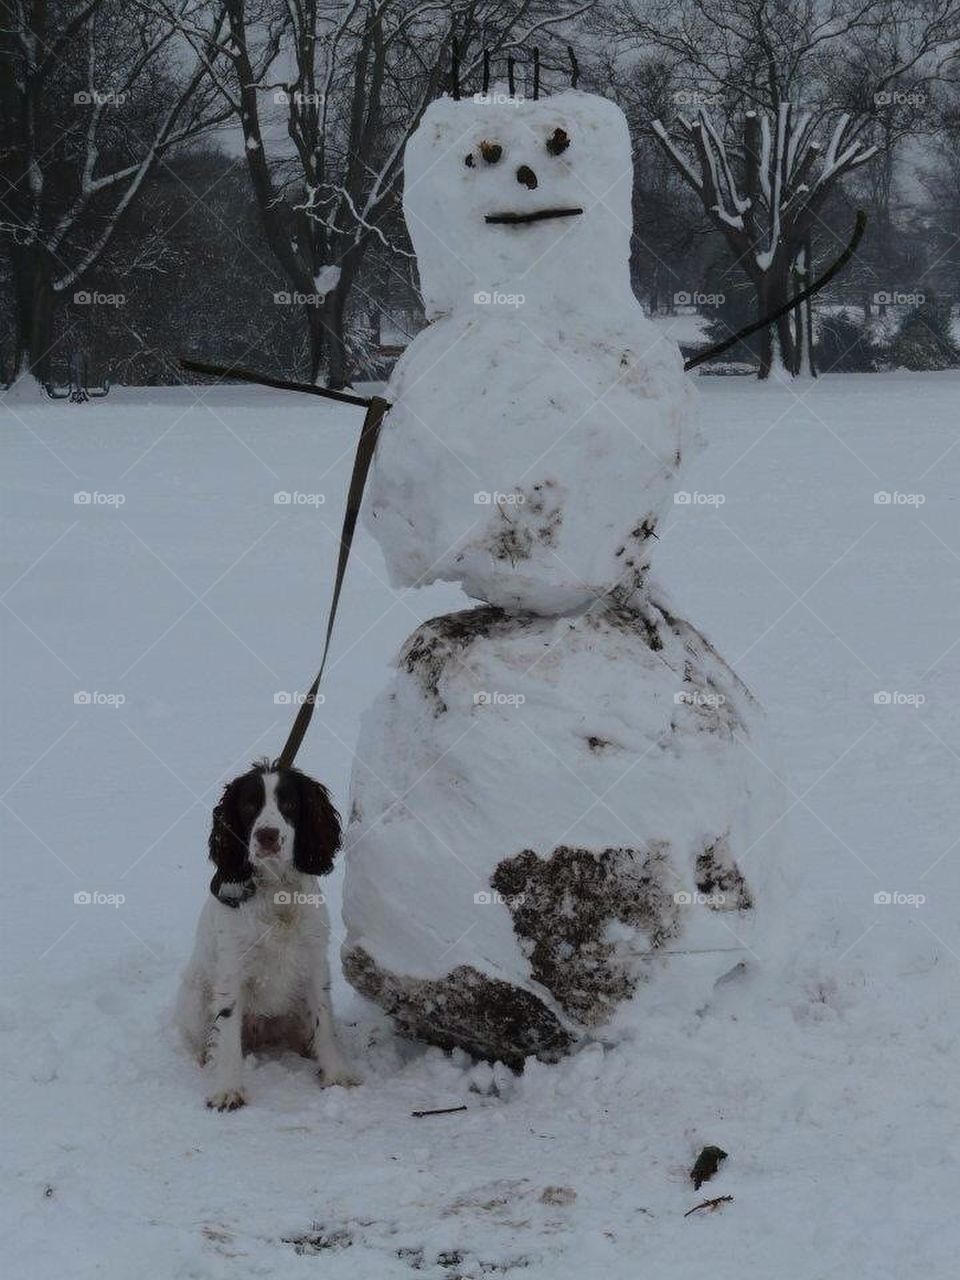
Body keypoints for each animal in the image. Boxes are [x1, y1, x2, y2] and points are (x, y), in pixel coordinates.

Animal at [175, 757, 358, 1111]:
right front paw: (228, 1089)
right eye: (249, 805)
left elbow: (324, 1022)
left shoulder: (314, 961)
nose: (267, 836)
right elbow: (227, 1032)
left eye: (289, 803)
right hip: (195, 995)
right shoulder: (232, 968)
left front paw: (336, 1075)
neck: (276, 892)